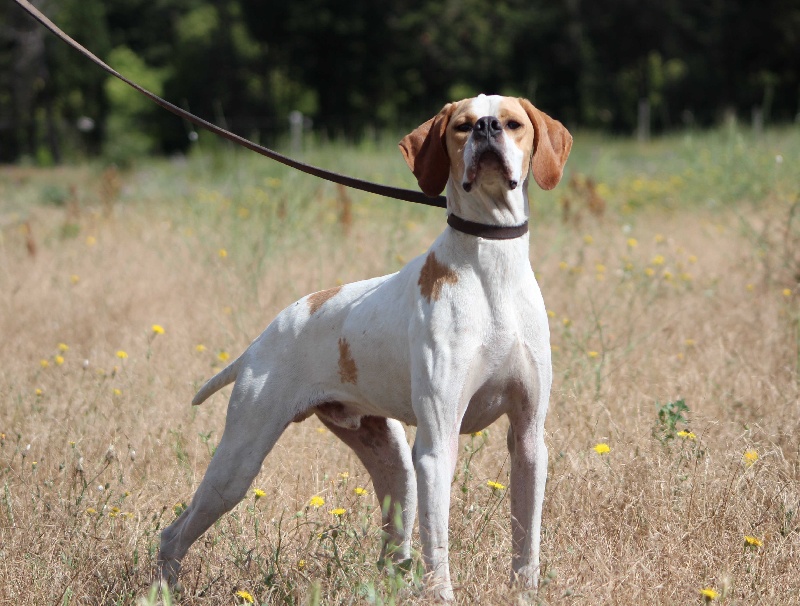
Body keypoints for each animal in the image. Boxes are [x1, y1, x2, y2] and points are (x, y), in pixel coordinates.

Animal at [158, 95, 568, 604]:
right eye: (462, 126)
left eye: (512, 123)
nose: (488, 128)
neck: (492, 269)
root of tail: (262, 339)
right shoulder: (438, 444)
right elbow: (439, 546)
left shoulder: (529, 437)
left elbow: (526, 539)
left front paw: (526, 592)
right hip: (238, 465)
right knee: (173, 533)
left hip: (395, 466)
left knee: (393, 554)